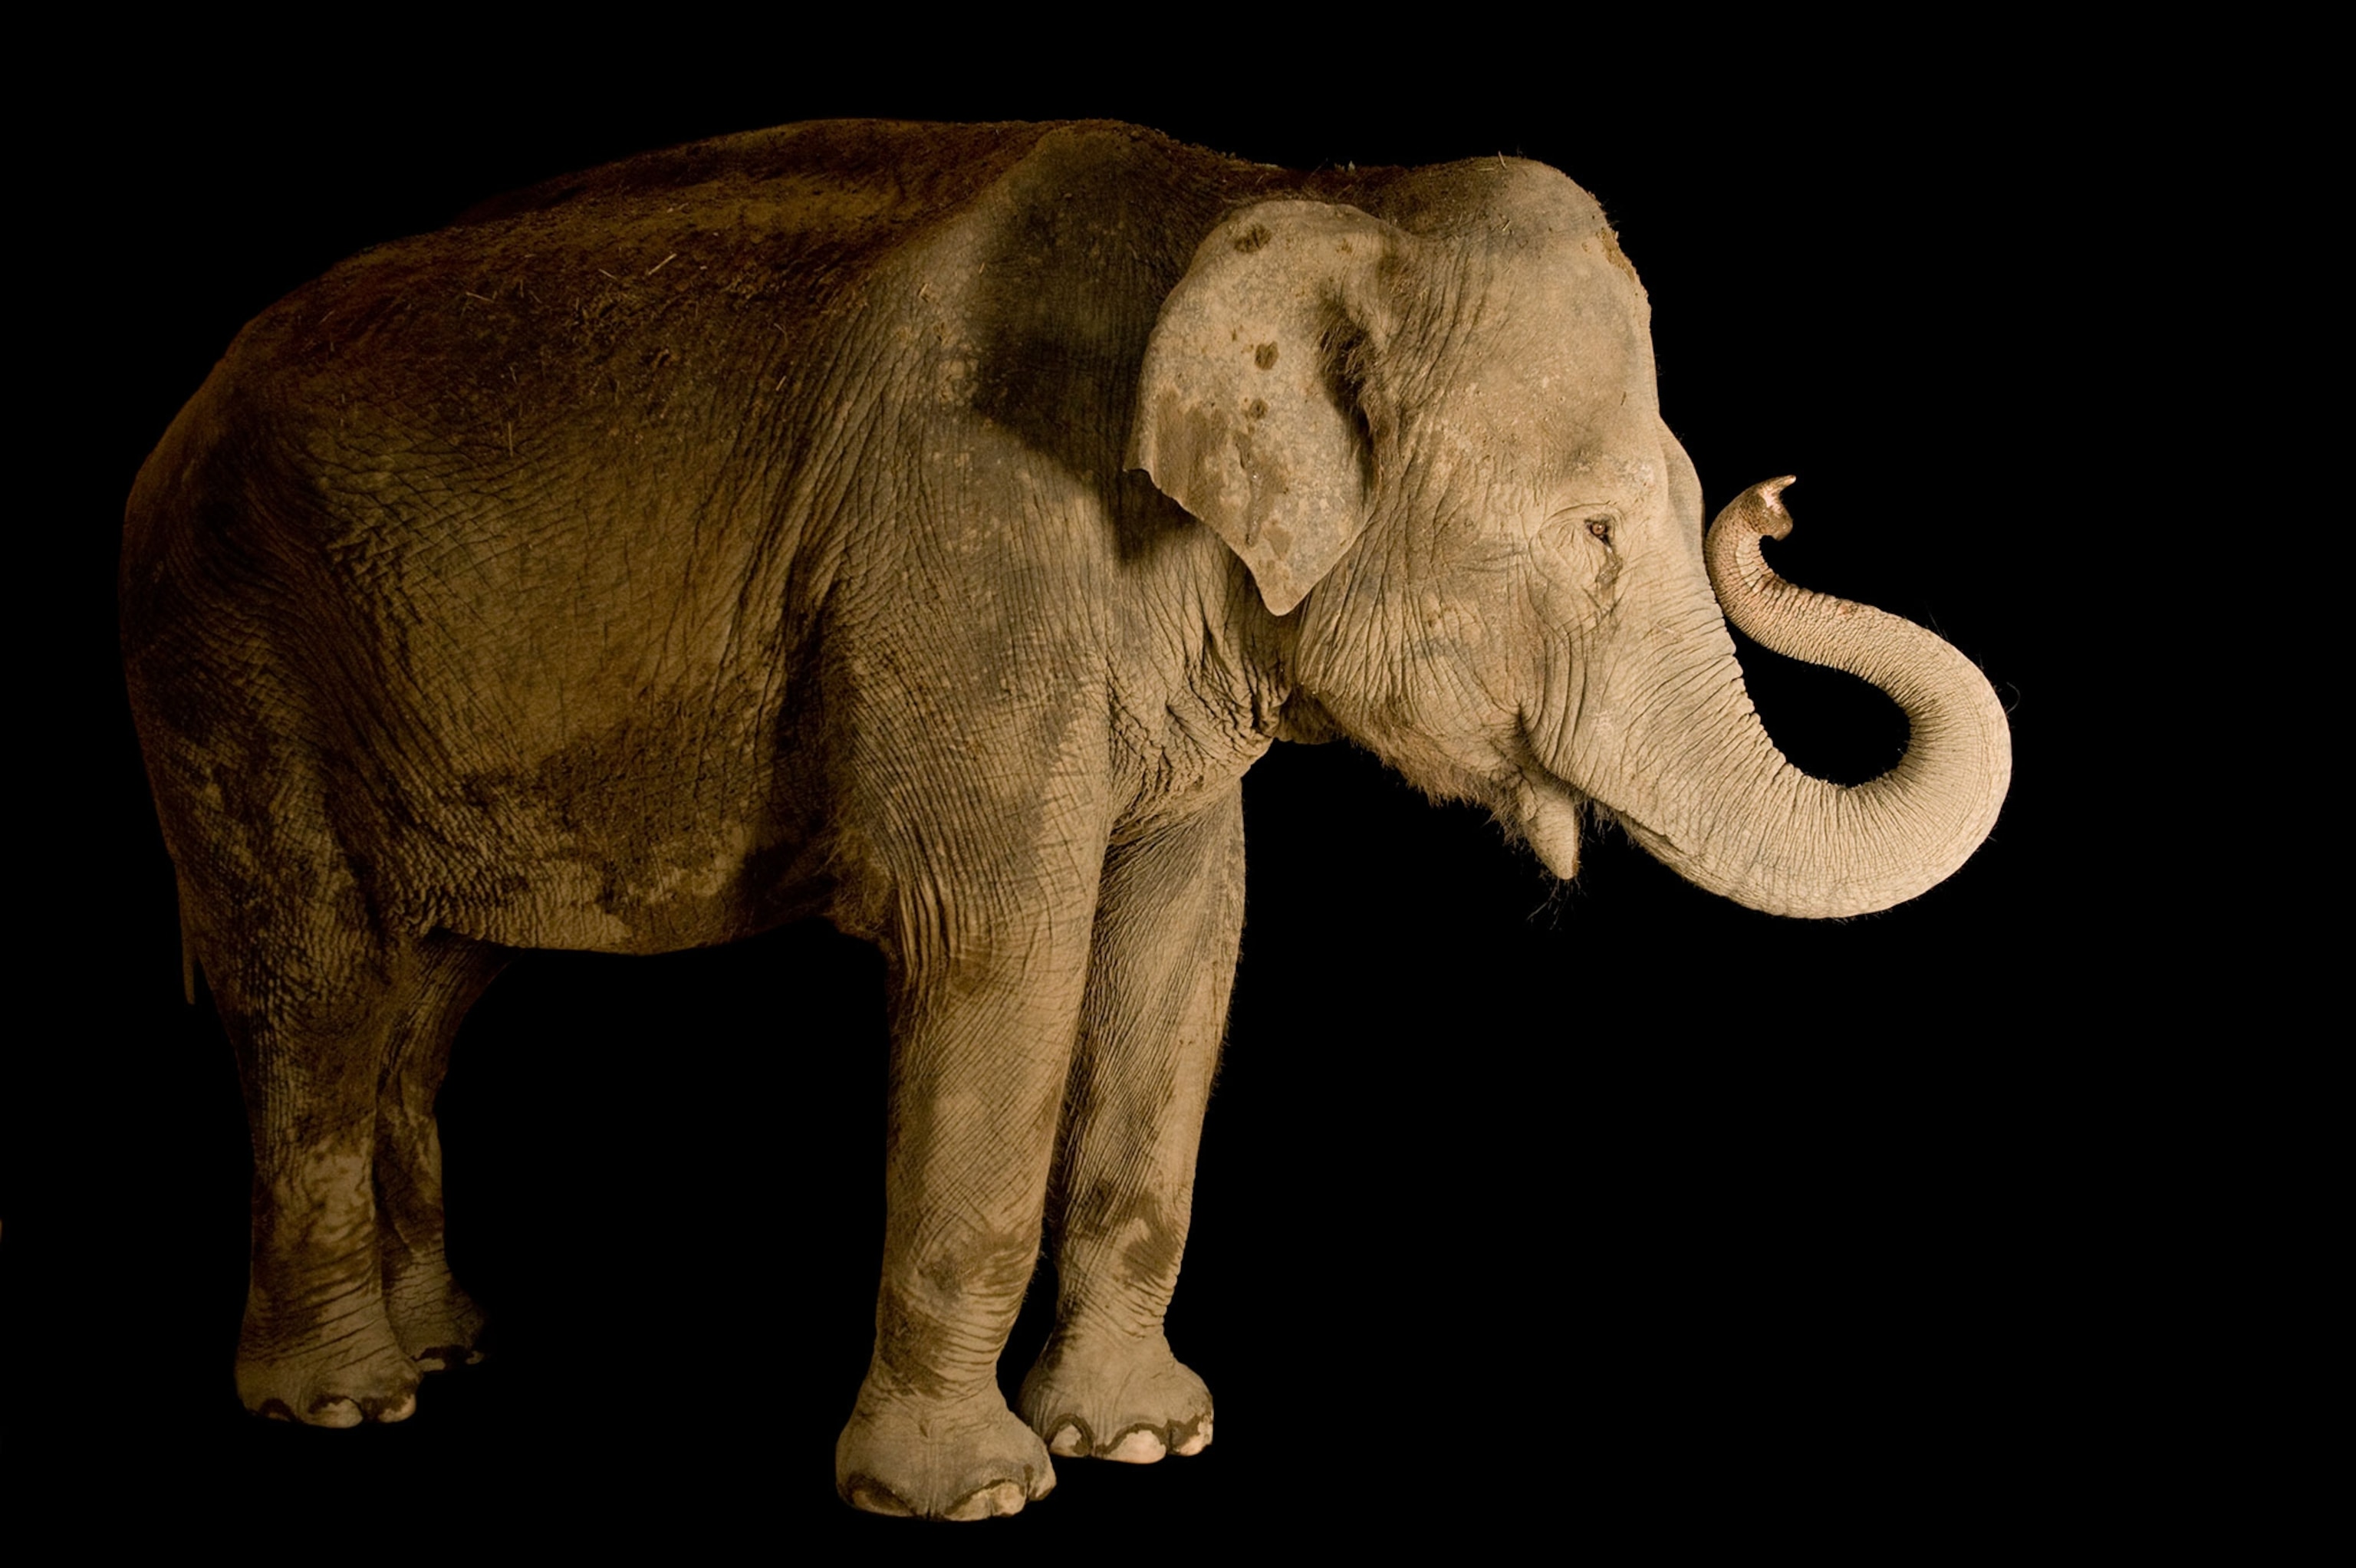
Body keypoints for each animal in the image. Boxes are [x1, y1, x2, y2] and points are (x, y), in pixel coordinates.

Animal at [120, 118, 2010, 1519]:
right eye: (1605, 531)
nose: (1779, 496)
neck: (1285, 197)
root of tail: (178, 420)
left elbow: (1184, 942)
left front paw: (1148, 1438)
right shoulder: (965, 563)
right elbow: (1001, 942)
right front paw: (969, 1491)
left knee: (423, 997)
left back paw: (445, 1348)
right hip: (228, 657)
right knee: (312, 977)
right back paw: (346, 1403)